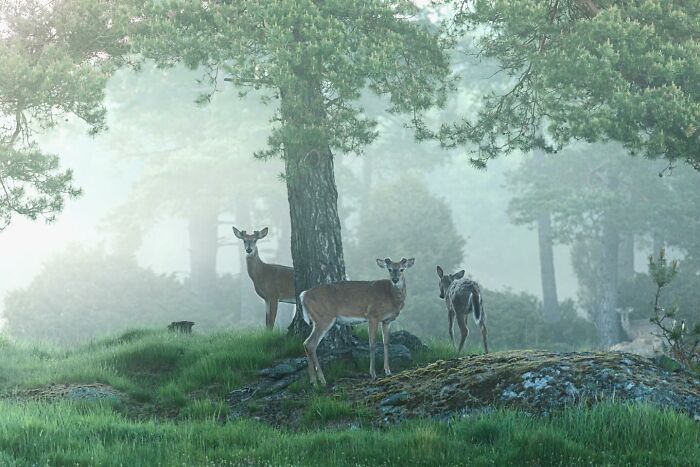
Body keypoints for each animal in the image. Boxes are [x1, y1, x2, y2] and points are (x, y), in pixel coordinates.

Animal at [299, 257, 415, 386]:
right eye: (389, 269)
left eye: (402, 269)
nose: (395, 280)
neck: (391, 297)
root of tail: (303, 295)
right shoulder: (372, 316)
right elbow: (372, 344)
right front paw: (373, 373)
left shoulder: (386, 320)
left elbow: (386, 343)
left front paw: (388, 371)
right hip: (323, 317)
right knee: (310, 343)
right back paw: (322, 381)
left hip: (319, 319)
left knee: (307, 343)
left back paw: (313, 381)